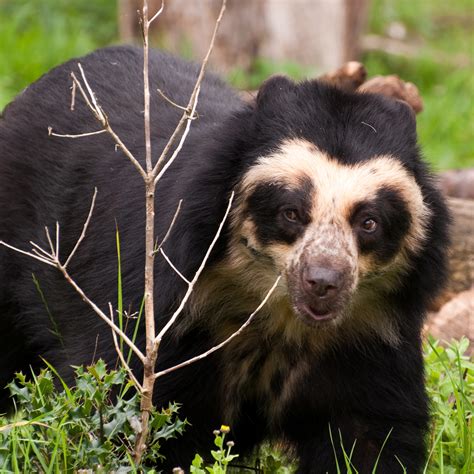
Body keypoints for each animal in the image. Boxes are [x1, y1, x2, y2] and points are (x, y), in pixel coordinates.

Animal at [0, 45, 448, 474]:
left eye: (369, 222)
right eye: (291, 212)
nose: (323, 282)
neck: (278, 315)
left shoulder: (371, 332)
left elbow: (371, 433)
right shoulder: (168, 308)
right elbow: (127, 401)